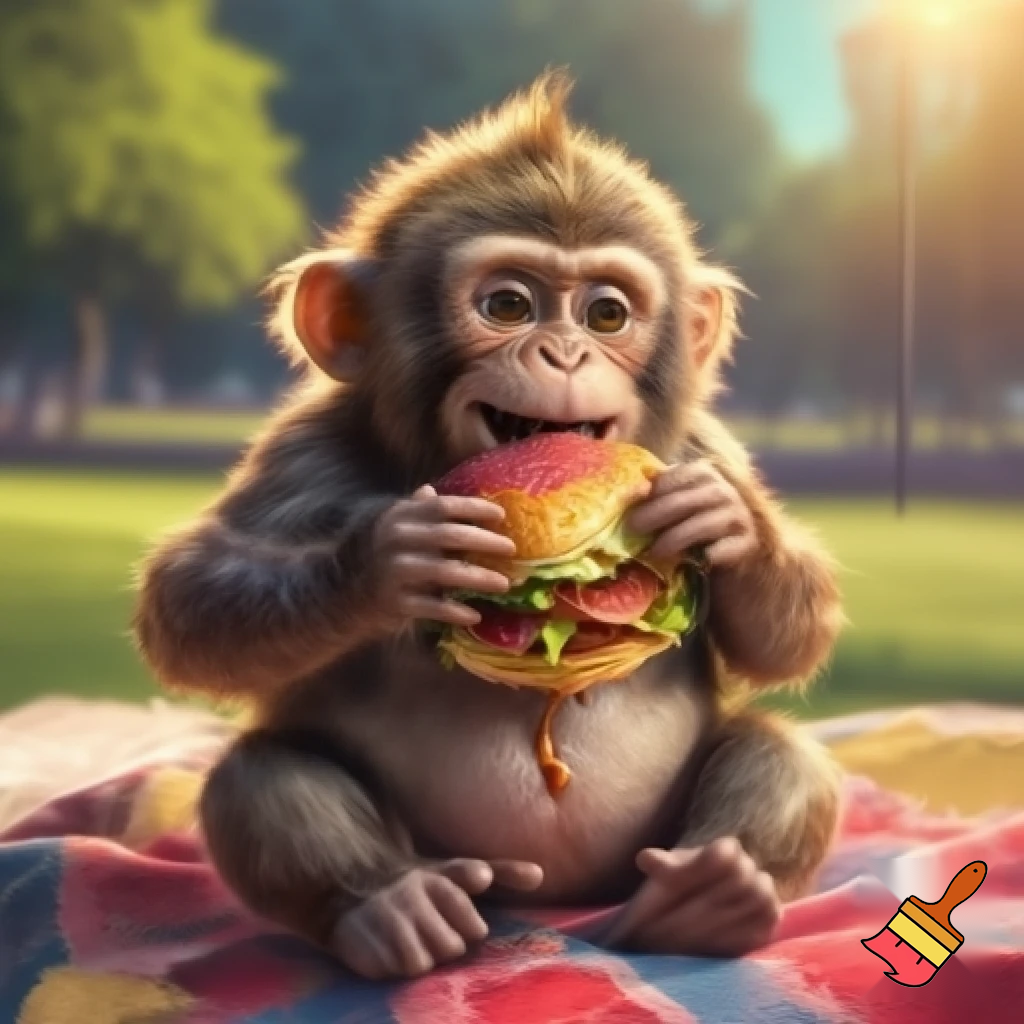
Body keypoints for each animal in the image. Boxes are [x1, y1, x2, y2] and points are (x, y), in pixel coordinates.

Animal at [133, 72, 844, 981]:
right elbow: (194, 593)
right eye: (508, 304)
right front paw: (388, 561)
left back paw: (713, 895)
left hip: (638, 859)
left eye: (607, 314)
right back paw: (393, 907)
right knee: (263, 778)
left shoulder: (700, 446)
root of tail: (549, 898)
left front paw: (728, 525)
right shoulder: (305, 453)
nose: (566, 350)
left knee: (783, 754)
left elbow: (788, 638)